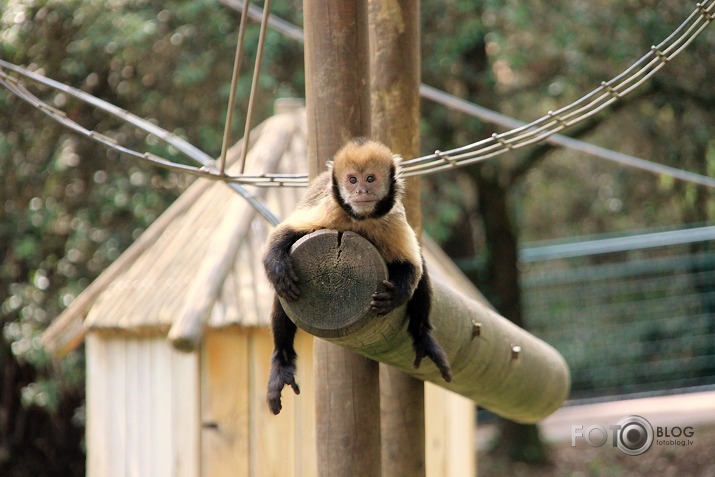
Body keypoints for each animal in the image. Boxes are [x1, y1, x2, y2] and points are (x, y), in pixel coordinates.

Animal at [262, 137, 454, 412]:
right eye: (352, 180)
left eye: (370, 179)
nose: (361, 191)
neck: (361, 220)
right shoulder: (330, 209)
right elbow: (283, 234)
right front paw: (278, 267)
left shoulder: (392, 219)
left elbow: (413, 266)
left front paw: (393, 296)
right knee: (283, 296)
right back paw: (283, 362)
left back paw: (422, 335)